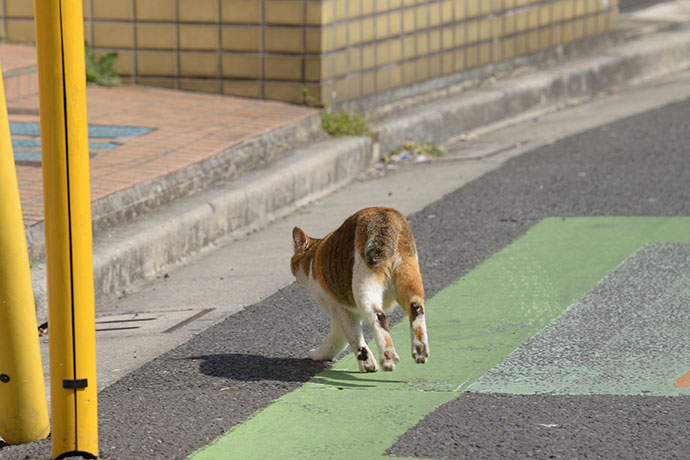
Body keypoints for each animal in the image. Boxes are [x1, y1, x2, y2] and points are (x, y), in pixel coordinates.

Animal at [288, 207, 428, 372]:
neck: (313, 258)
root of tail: (385, 215)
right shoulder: (341, 314)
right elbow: (336, 341)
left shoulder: (338, 309)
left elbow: (352, 338)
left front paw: (367, 365)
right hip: (408, 275)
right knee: (416, 308)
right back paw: (420, 350)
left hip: (363, 283)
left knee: (378, 317)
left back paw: (387, 357)